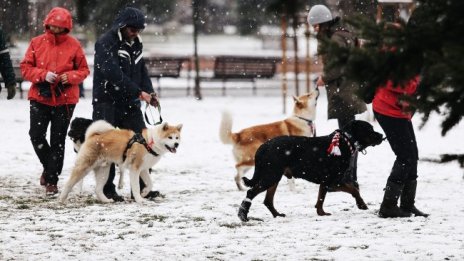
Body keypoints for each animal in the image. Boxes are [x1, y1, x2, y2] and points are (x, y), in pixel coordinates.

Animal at [237, 119, 382, 220]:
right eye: (369, 129)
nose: (381, 136)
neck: (344, 142)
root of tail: (262, 147)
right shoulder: (332, 181)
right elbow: (353, 189)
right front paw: (361, 204)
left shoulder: (327, 182)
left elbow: (321, 198)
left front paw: (320, 212)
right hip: (271, 175)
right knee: (251, 192)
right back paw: (243, 216)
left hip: (274, 176)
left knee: (267, 200)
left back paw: (277, 215)